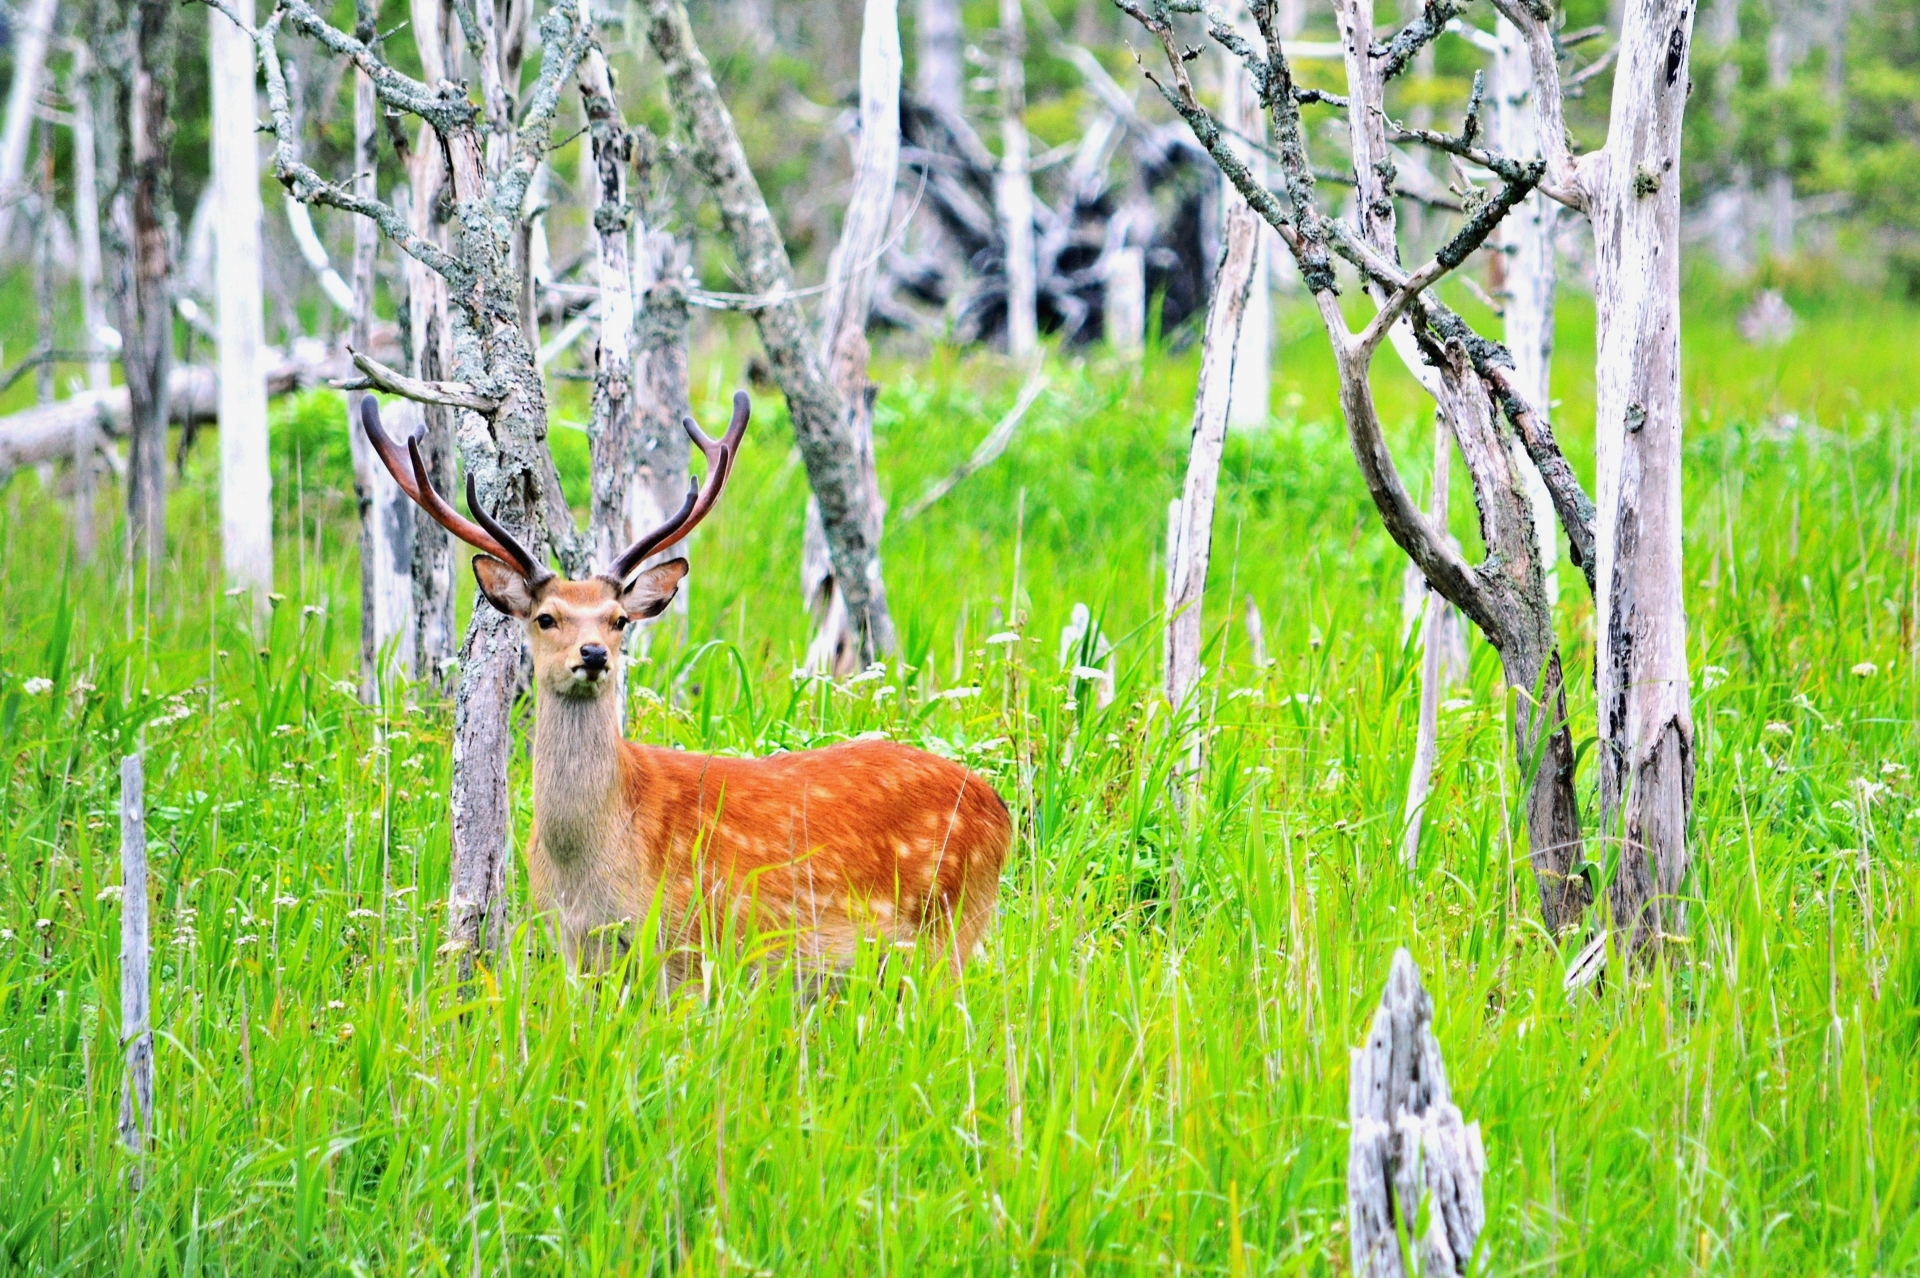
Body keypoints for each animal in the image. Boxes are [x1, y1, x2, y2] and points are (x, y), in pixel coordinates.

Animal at [364, 393, 1013, 970]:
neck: (587, 866)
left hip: (951, 926)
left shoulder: (690, 942)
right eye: (546, 618)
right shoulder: (572, 945)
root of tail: (1001, 811)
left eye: (618, 619)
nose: (593, 654)